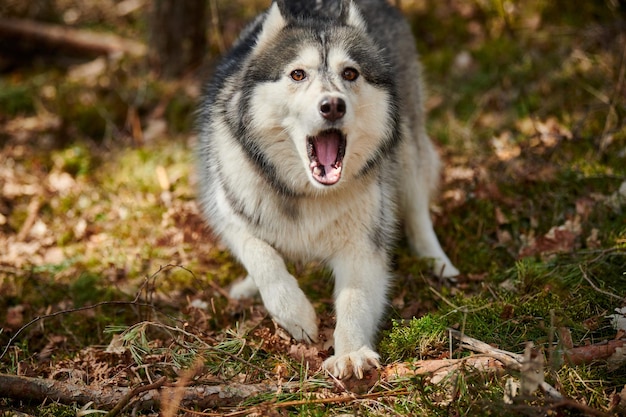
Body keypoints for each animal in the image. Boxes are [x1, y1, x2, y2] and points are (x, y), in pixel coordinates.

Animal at [199, 0, 458, 376]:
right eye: (297, 74)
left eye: (350, 73)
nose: (333, 105)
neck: (308, 192)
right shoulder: (229, 211)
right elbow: (262, 258)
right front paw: (297, 315)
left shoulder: (362, 244)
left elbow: (354, 299)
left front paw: (350, 353)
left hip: (408, 152)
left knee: (417, 210)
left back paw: (437, 262)